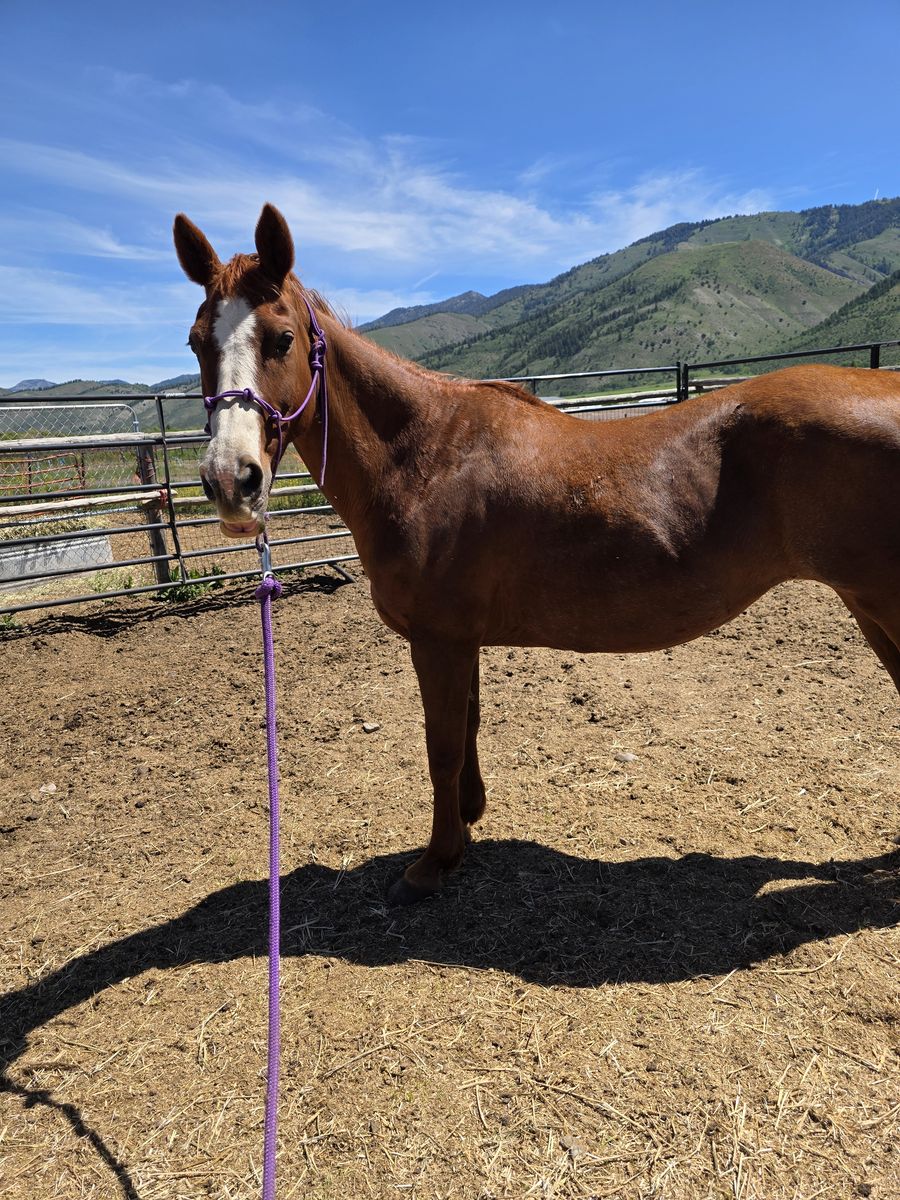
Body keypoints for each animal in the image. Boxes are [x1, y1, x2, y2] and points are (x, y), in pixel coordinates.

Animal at [174, 203, 900, 906]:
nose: (230, 479)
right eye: (197, 340)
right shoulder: (459, 639)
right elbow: (466, 730)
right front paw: (467, 822)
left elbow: (442, 746)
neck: (423, 454)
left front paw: (434, 863)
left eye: (281, 338)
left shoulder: (437, 639)